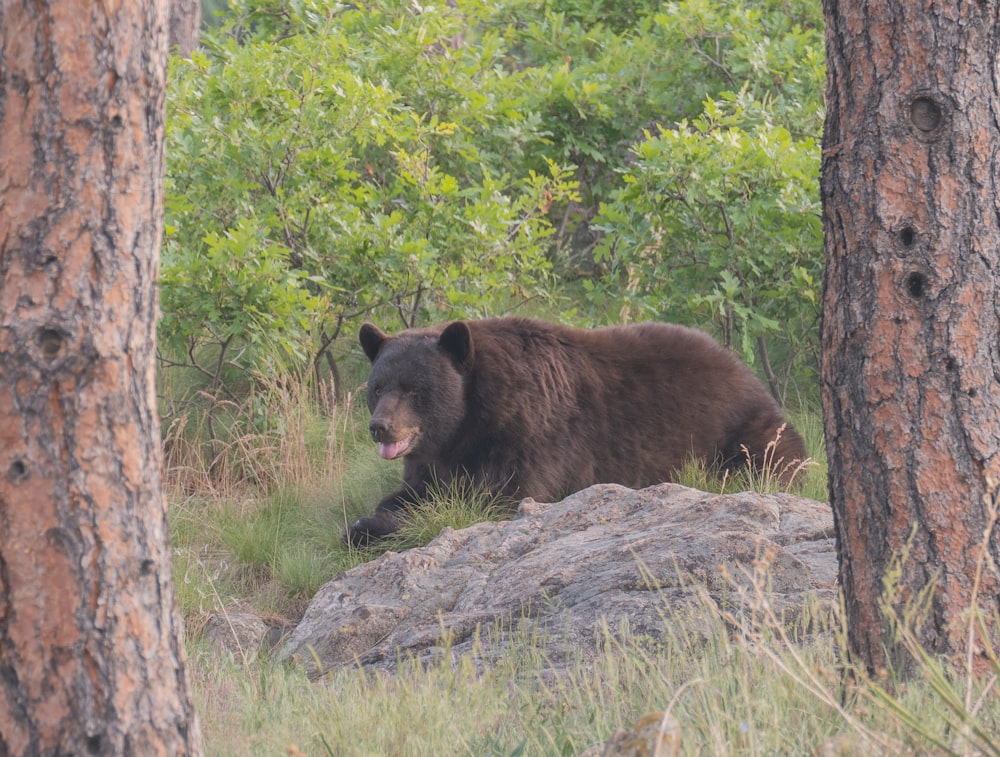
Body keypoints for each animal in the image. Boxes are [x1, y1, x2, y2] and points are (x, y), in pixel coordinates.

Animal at [344, 316, 804, 548]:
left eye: (414, 389)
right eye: (378, 386)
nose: (380, 427)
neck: (468, 423)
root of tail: (744, 370)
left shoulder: (528, 434)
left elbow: (497, 498)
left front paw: (368, 527)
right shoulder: (435, 457)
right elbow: (417, 490)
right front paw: (376, 515)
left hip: (742, 430)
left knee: (769, 459)